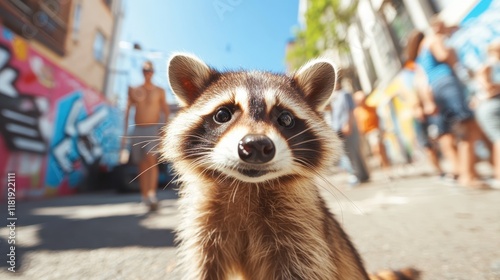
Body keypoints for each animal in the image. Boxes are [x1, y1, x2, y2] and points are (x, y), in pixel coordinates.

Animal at [161, 53, 418, 280]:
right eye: (223, 114)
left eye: (285, 119)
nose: (256, 145)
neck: (247, 186)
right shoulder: (203, 232)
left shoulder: (304, 233)